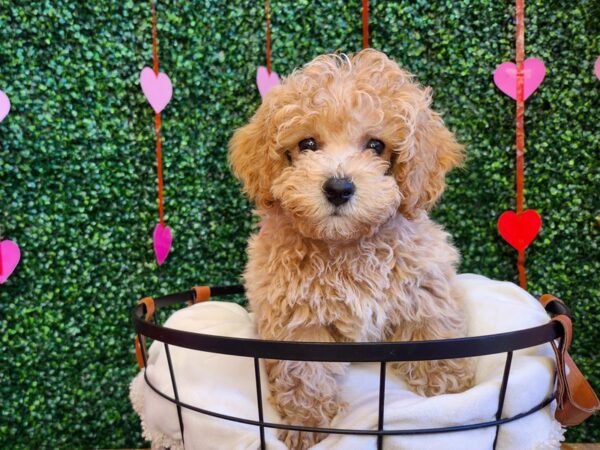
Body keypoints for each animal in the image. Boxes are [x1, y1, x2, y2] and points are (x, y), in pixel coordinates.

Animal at [229, 50, 474, 450]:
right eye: (307, 145)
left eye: (376, 145)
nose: (339, 188)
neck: (346, 244)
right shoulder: (297, 319)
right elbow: (304, 373)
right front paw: (307, 424)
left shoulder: (423, 285)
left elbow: (434, 332)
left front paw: (450, 392)